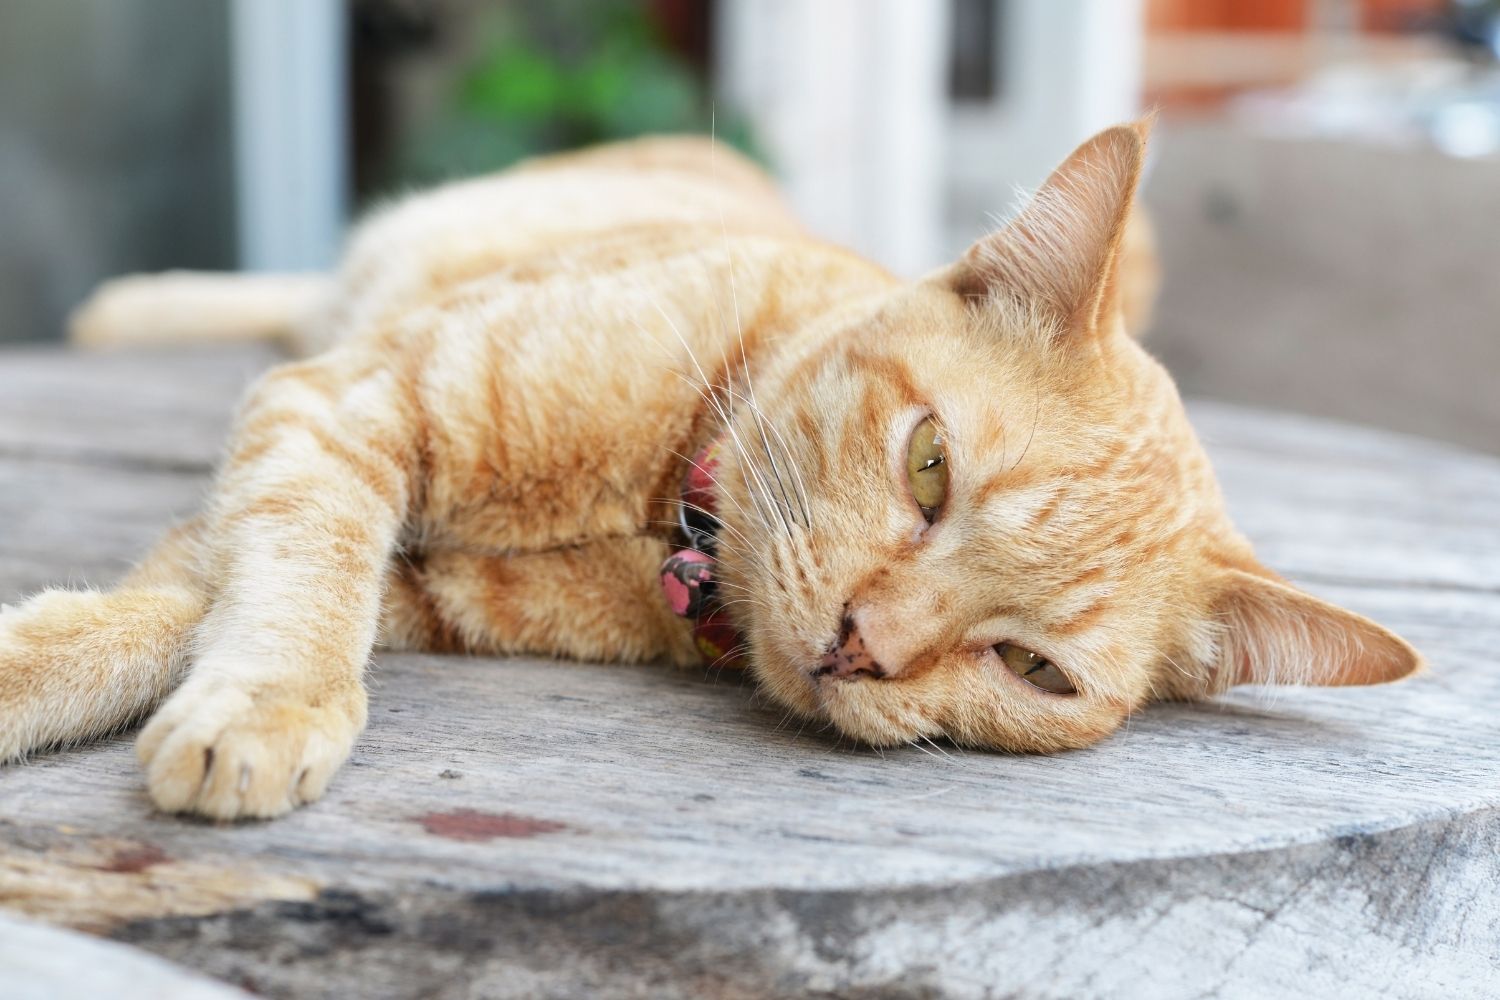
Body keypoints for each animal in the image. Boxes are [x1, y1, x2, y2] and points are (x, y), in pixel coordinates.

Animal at [0, 121, 1416, 815]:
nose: (862, 646)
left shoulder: (411, 573)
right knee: (300, 289)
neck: (657, 507)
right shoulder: (346, 403)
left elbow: (184, 609)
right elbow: (281, 576)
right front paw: (266, 705)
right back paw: (127, 309)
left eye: (1034, 671)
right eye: (930, 469)